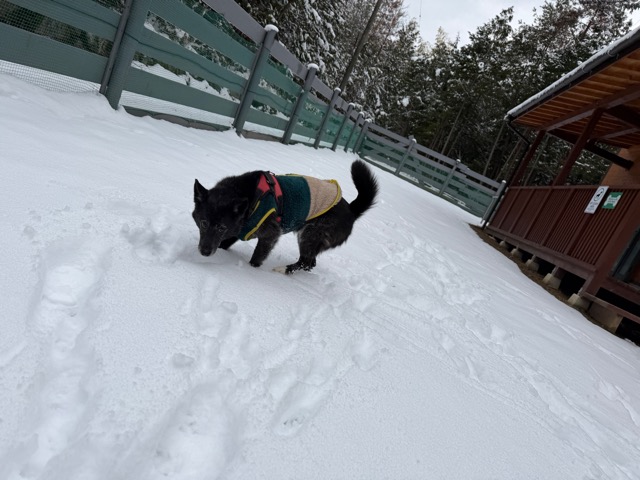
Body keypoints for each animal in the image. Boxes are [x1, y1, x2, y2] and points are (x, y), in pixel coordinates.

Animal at [192, 160, 379, 274]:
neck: (250, 197)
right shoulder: (239, 230)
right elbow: (224, 243)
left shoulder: (270, 235)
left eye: (221, 227)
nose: (204, 252)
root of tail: (352, 210)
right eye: (203, 223)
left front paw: (250, 271)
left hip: (310, 234)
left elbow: (257, 257)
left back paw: (283, 270)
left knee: (305, 261)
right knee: (310, 263)